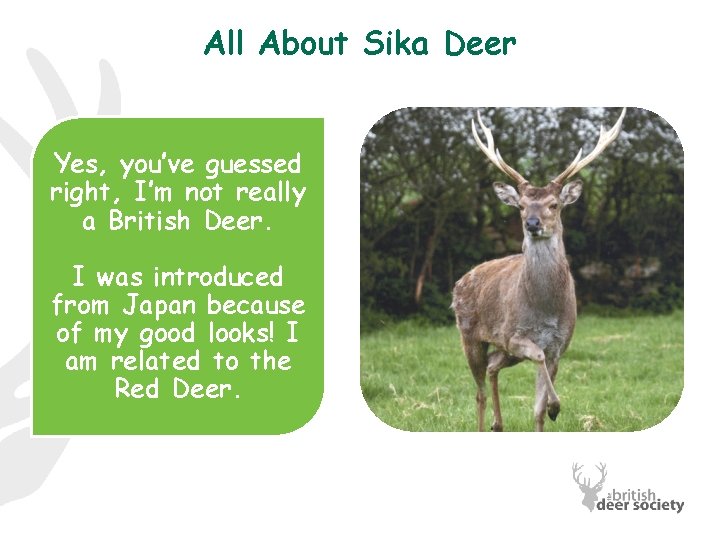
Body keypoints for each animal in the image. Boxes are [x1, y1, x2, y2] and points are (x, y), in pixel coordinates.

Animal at [452, 108, 626, 431]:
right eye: (521, 206)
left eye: (554, 204)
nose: (532, 223)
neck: (545, 309)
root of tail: (461, 280)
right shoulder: (514, 335)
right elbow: (538, 357)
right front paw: (557, 406)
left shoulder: (560, 344)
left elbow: (538, 409)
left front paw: (550, 410)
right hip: (470, 335)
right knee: (479, 391)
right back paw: (486, 423)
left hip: (502, 351)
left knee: (493, 367)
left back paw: (498, 423)